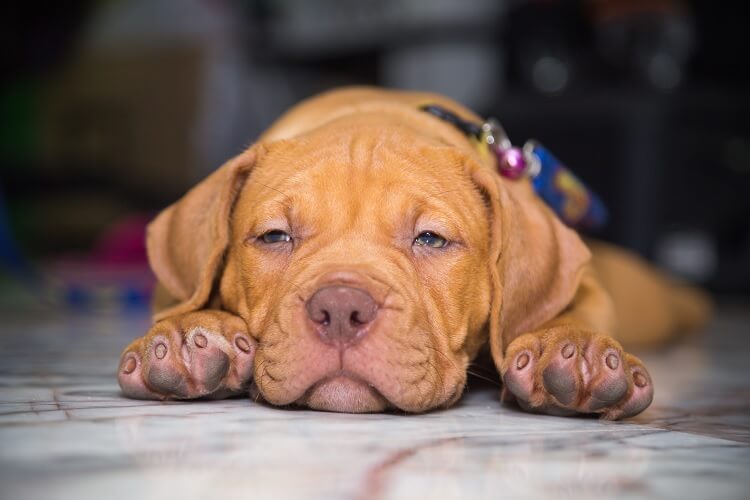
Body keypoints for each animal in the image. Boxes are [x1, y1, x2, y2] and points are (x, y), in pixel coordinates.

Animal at [117, 86, 712, 418]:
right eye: (274, 237)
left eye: (430, 239)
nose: (339, 309)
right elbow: (182, 300)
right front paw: (190, 334)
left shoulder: (585, 286)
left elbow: (573, 307)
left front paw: (572, 348)